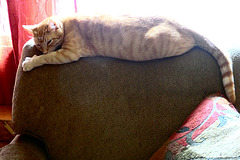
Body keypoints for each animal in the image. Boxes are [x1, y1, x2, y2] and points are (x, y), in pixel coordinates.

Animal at [21, 14, 235, 103]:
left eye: (48, 41)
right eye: (39, 44)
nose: (43, 50)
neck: (66, 23)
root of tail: (184, 24)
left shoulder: (68, 53)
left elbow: (47, 59)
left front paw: (30, 62)